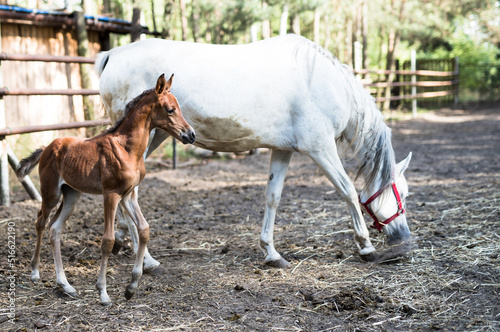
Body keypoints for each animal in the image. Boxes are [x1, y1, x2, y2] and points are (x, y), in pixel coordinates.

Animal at [16, 74, 195, 304]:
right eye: (171, 109)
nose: (191, 135)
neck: (127, 148)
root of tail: (47, 147)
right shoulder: (111, 194)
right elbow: (108, 240)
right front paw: (102, 292)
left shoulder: (128, 195)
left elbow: (144, 229)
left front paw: (132, 286)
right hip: (51, 193)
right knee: (40, 222)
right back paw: (35, 272)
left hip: (72, 195)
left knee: (55, 229)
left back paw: (65, 285)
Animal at [95, 34, 412, 268]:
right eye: (404, 194)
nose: (403, 241)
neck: (323, 83)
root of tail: (112, 54)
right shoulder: (320, 148)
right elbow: (347, 190)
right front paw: (366, 246)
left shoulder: (283, 150)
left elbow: (273, 197)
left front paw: (271, 252)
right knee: (130, 193)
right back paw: (146, 260)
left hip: (155, 137)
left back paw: (124, 240)